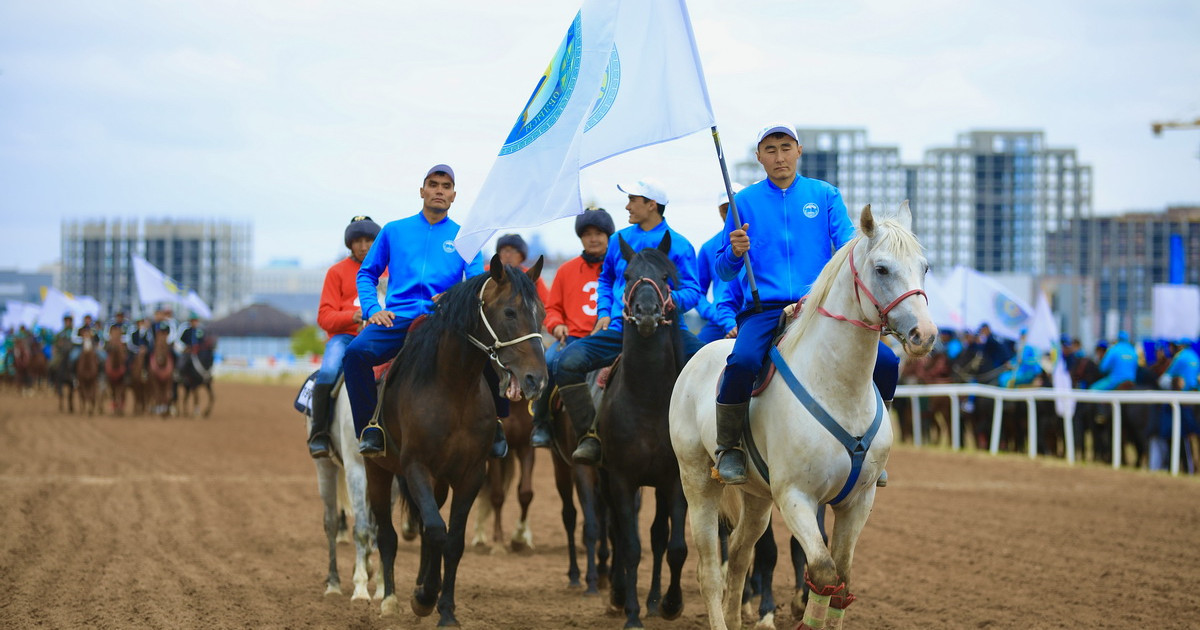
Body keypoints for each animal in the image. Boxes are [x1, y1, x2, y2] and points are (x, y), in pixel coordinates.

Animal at [362, 254, 547, 624]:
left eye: (542, 314)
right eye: (510, 312)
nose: (537, 378)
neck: (453, 390)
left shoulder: (470, 474)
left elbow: (453, 540)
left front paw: (444, 608)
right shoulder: (416, 467)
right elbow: (436, 530)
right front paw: (424, 598)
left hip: (439, 482)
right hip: (378, 472)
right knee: (389, 535)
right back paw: (390, 599)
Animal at [667, 202, 936, 628]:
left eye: (924, 267)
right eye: (881, 269)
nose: (924, 334)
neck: (838, 389)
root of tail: (699, 357)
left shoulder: (859, 501)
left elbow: (842, 582)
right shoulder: (796, 497)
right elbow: (824, 573)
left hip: (756, 498)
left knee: (739, 555)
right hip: (697, 482)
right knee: (710, 570)